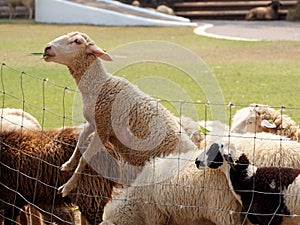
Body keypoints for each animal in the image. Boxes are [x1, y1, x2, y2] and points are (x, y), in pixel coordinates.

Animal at [42, 31, 197, 197]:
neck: (99, 85)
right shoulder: (95, 121)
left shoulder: (103, 130)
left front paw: (67, 187)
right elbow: (81, 139)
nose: (47, 47)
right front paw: (68, 164)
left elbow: (85, 158)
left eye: (77, 41)